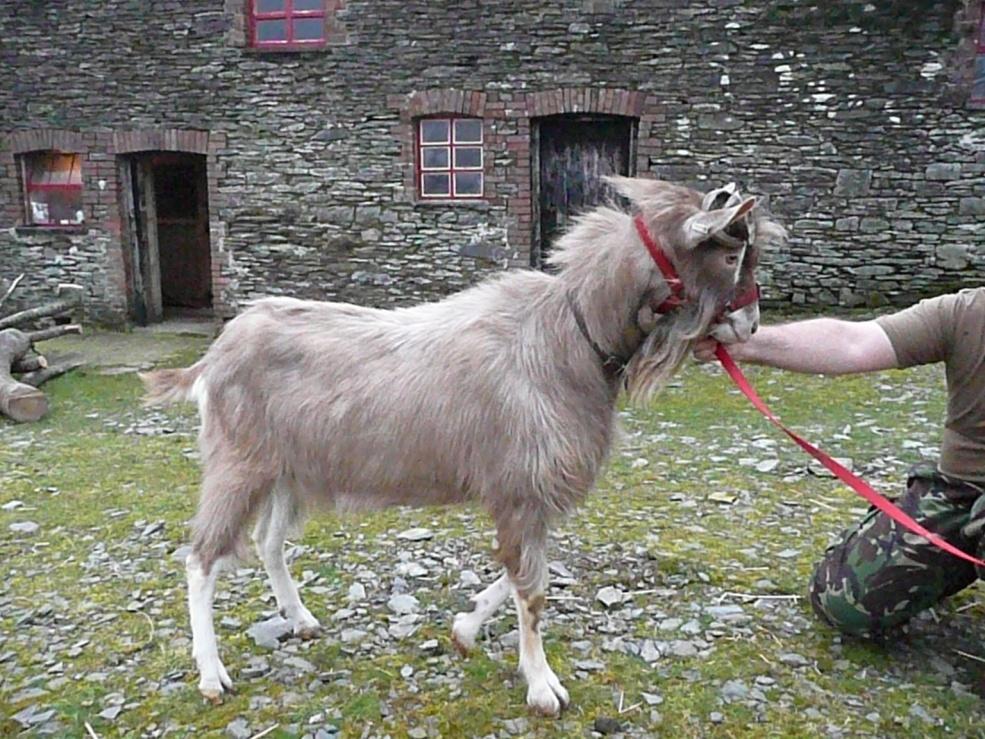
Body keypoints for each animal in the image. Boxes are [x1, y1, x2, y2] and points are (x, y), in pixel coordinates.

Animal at [142, 175, 784, 716]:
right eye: (731, 253)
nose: (751, 325)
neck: (569, 335)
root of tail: (215, 355)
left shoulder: (526, 492)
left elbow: (517, 571)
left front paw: (466, 627)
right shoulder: (522, 487)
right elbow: (533, 589)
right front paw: (543, 686)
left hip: (288, 469)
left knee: (268, 542)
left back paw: (300, 620)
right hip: (237, 463)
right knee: (200, 559)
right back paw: (211, 675)